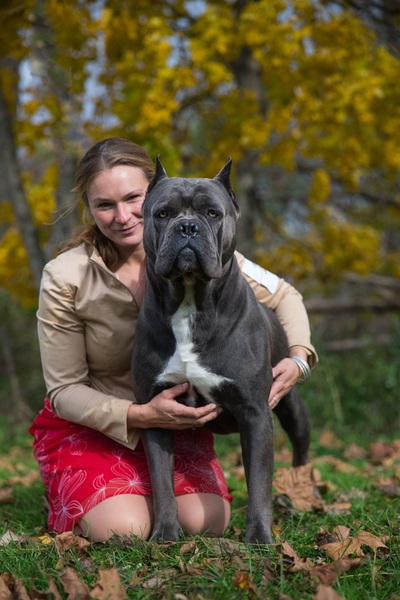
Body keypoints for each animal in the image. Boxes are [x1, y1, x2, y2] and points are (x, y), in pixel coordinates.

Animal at [133, 157, 310, 548]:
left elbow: (258, 483)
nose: (187, 227)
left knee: (301, 450)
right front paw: (165, 533)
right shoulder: (154, 411)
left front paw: (259, 538)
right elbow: (161, 480)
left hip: (291, 408)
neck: (190, 302)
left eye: (212, 213)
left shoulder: (255, 414)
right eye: (162, 213)